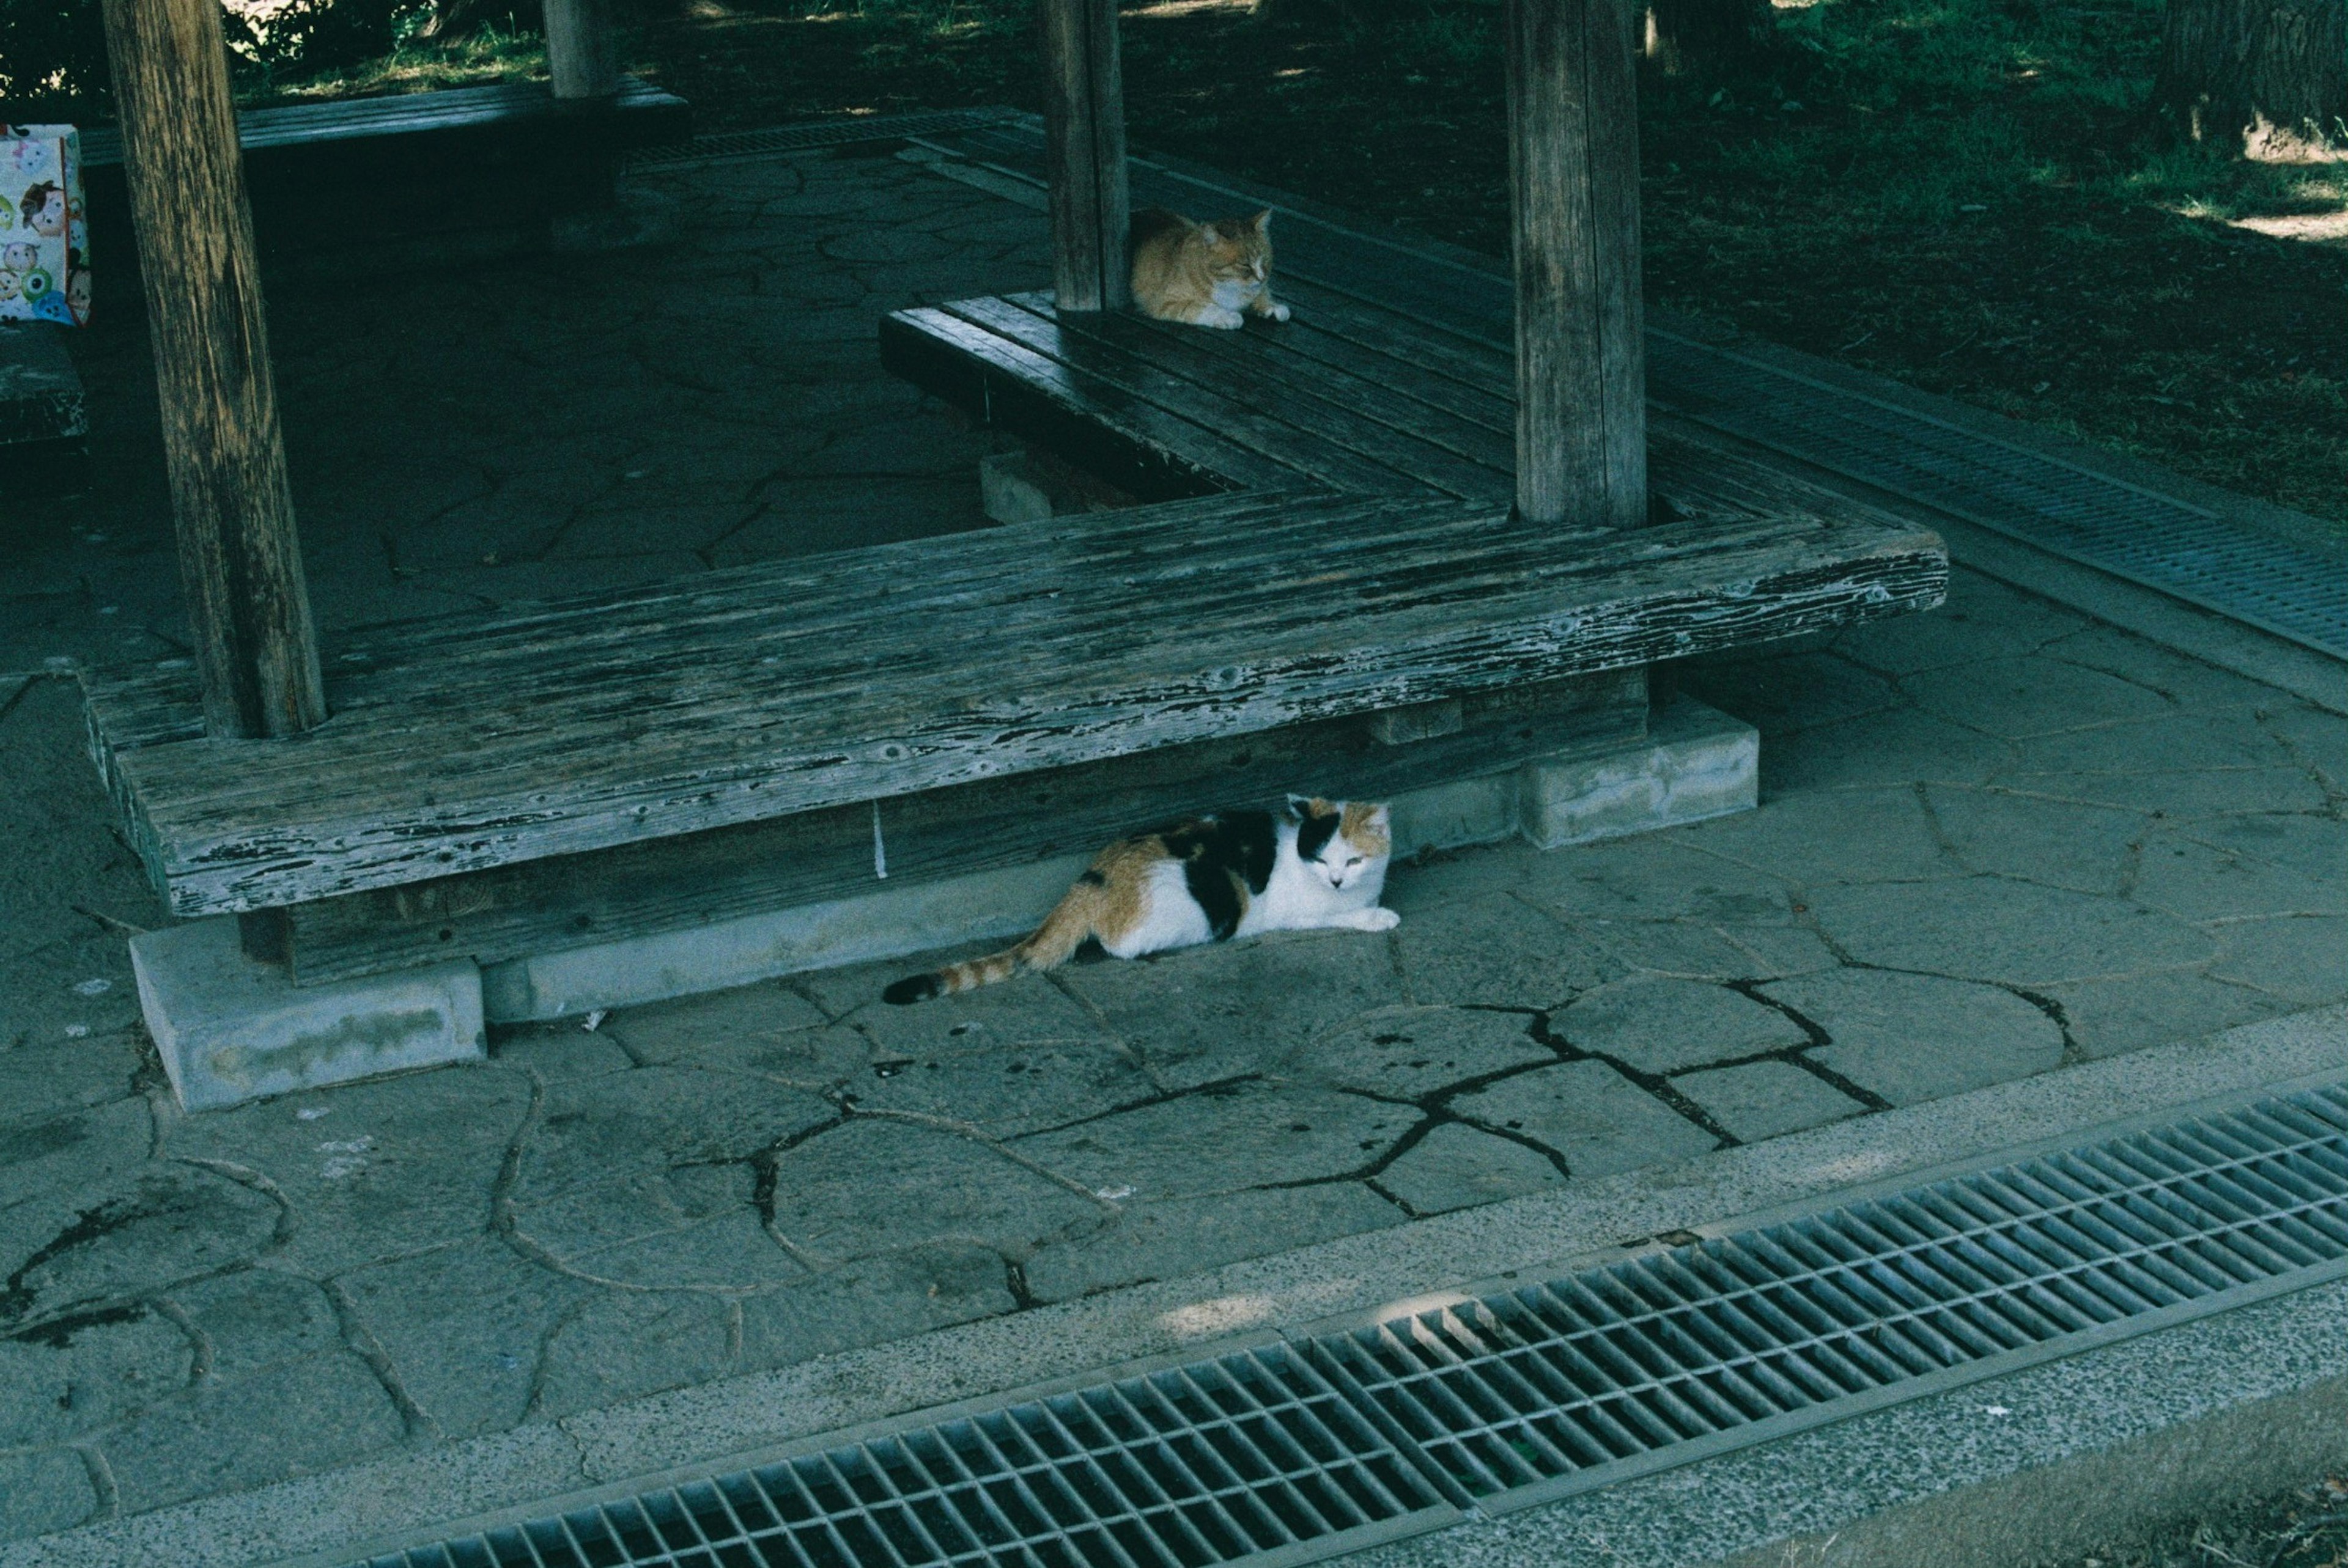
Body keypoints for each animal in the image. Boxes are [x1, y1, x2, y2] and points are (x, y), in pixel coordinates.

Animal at [882, 798, 1390, 1004]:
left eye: (1355, 859)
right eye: (1322, 859)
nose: (1338, 880)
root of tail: (1092, 879)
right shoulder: (1298, 910)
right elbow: (1342, 915)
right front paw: (1379, 915)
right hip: (1180, 914)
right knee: (1119, 943)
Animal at [1127, 205, 1296, 331]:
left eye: (1265, 259)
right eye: (1245, 264)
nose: (1262, 278)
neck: (1230, 286)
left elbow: (1262, 293)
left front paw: (1271, 306)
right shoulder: (1163, 302)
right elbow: (1200, 307)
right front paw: (1227, 316)